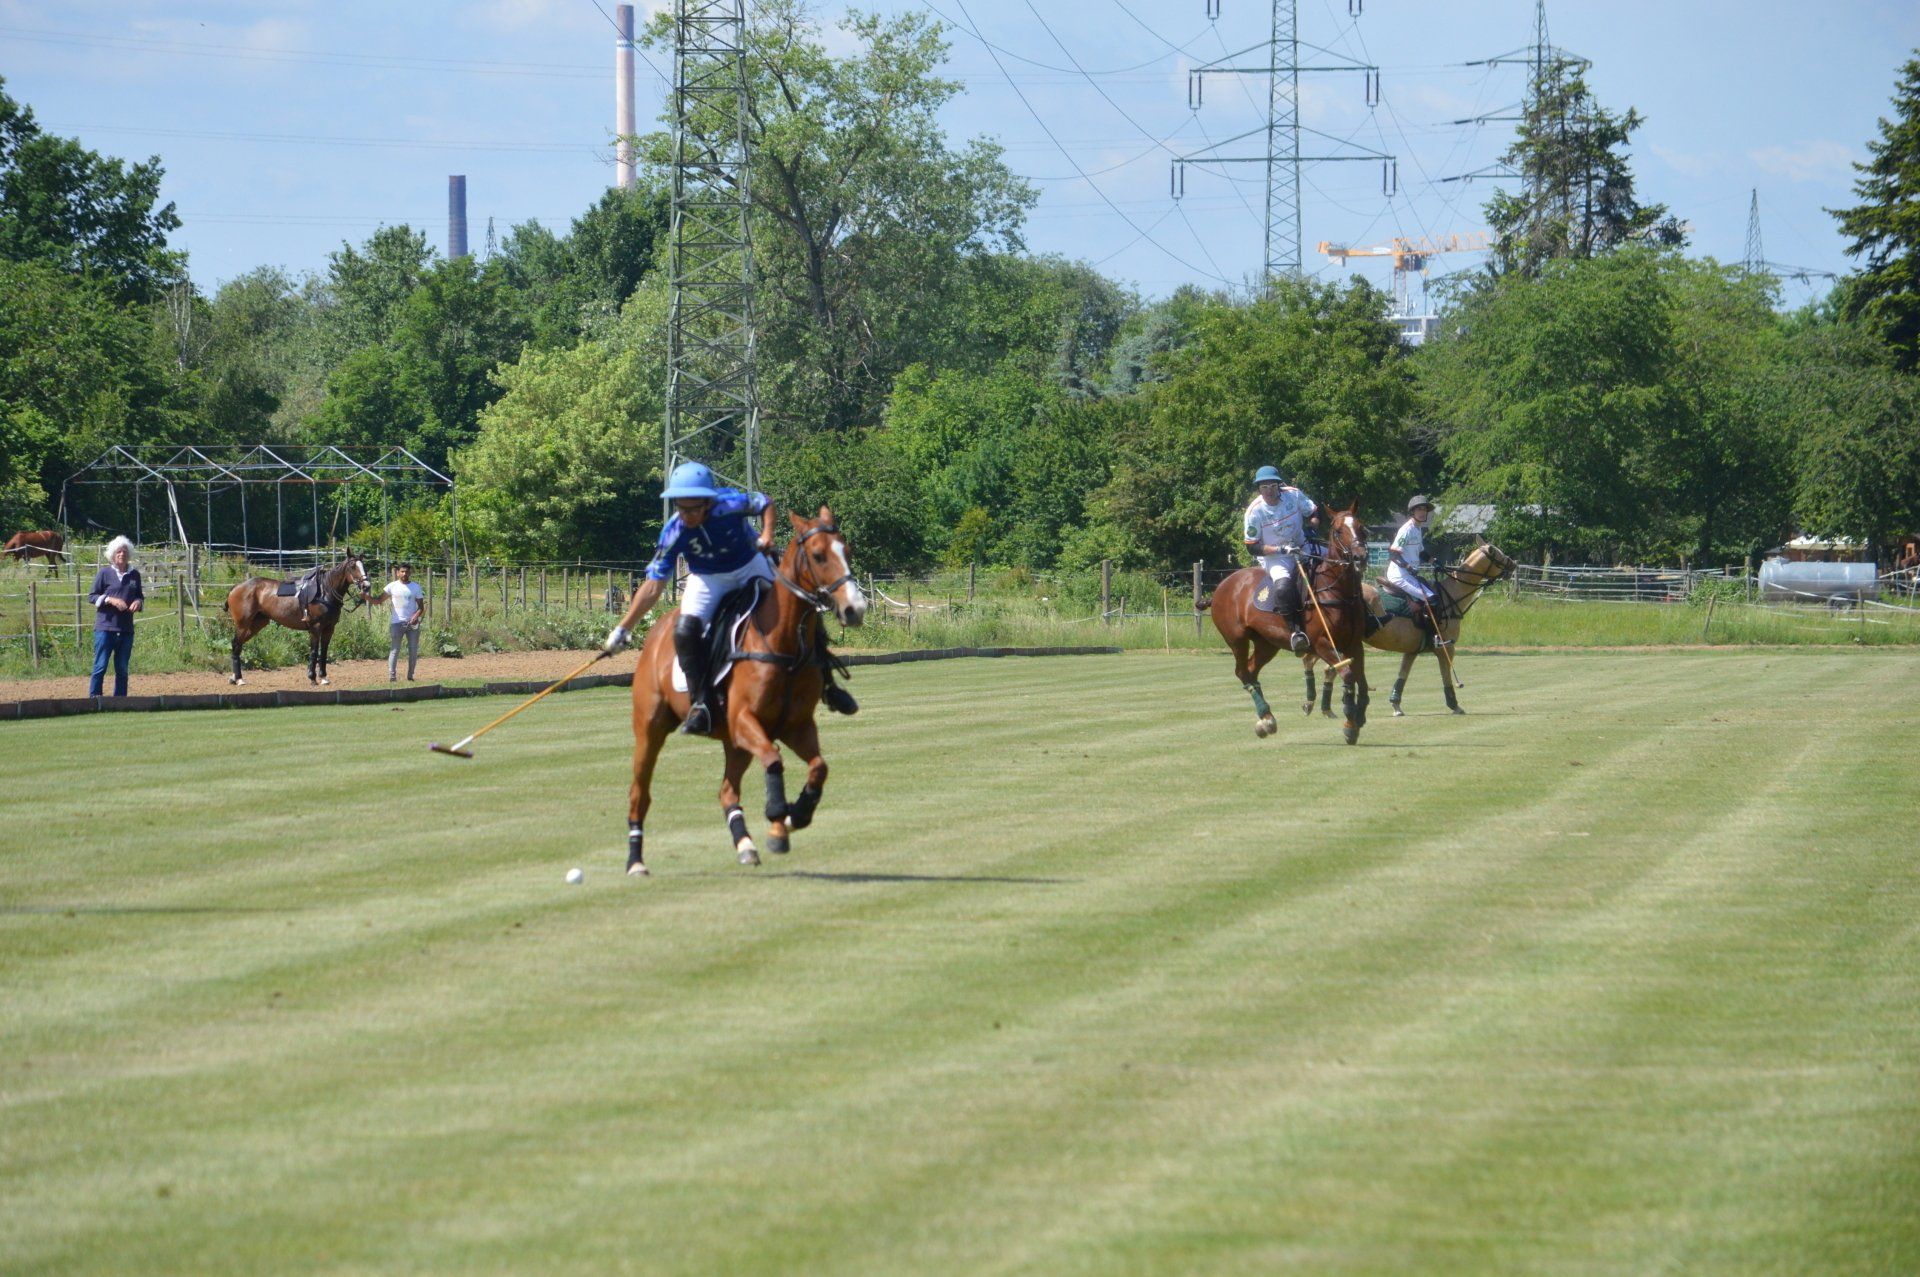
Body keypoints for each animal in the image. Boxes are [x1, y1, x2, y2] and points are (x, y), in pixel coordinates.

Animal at [224, 552, 372, 686]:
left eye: (363, 565)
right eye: (352, 566)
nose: (366, 586)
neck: (325, 591)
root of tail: (236, 587)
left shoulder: (329, 628)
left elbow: (323, 652)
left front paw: (324, 677)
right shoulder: (315, 628)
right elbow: (314, 651)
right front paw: (312, 678)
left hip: (257, 624)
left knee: (238, 645)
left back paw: (234, 677)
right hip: (243, 624)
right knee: (236, 645)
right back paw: (239, 679)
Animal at [625, 507, 867, 875]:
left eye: (848, 551)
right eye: (818, 555)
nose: (855, 609)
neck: (784, 644)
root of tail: (657, 629)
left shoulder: (796, 726)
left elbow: (818, 767)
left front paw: (796, 816)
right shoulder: (745, 720)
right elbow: (774, 760)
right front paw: (779, 818)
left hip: (733, 742)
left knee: (726, 791)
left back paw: (746, 845)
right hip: (650, 729)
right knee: (640, 793)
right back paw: (636, 861)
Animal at [1207, 504, 1371, 745]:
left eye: (1361, 527)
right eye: (1338, 531)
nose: (1360, 557)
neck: (1339, 592)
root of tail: (1220, 587)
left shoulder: (1355, 644)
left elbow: (1362, 682)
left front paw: (1358, 717)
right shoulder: (1322, 644)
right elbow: (1349, 675)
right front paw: (1350, 724)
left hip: (1267, 643)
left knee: (1251, 669)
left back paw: (1264, 720)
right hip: (1236, 639)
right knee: (1242, 671)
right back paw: (1267, 718)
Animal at [1304, 539, 1515, 717]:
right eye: (1498, 555)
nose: (1513, 564)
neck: (1450, 596)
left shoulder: (1412, 650)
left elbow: (1402, 676)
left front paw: (1396, 705)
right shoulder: (1446, 647)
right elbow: (1446, 677)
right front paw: (1455, 705)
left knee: (1316, 662)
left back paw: (1318, 705)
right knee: (1328, 667)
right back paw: (1324, 706)